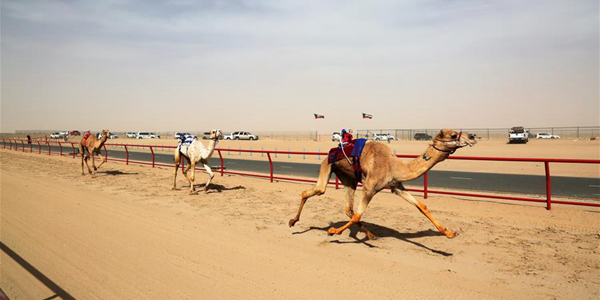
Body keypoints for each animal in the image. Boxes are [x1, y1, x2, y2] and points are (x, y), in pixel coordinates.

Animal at [288, 128, 476, 239]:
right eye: (453, 135)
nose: (473, 136)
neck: (395, 166)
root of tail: (333, 150)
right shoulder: (370, 187)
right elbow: (358, 214)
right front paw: (333, 231)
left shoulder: (396, 186)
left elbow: (422, 206)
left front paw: (449, 232)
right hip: (327, 165)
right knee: (316, 191)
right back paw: (293, 221)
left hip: (348, 178)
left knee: (348, 208)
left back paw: (371, 234)